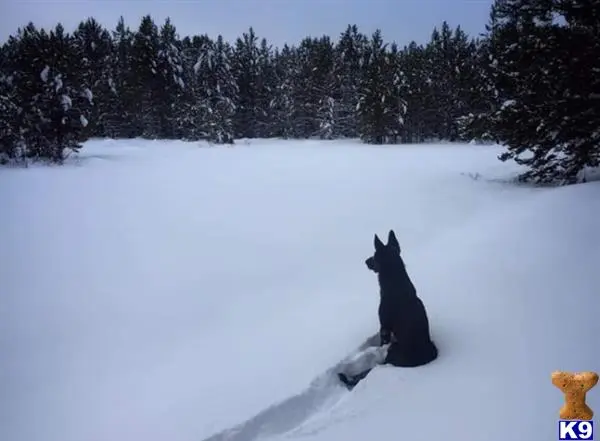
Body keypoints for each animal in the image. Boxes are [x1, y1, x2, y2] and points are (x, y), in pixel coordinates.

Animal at [340, 230, 438, 388]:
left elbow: (382, 340)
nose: (365, 261)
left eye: (374, 255)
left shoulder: (384, 327)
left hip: (392, 350)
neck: (396, 285)